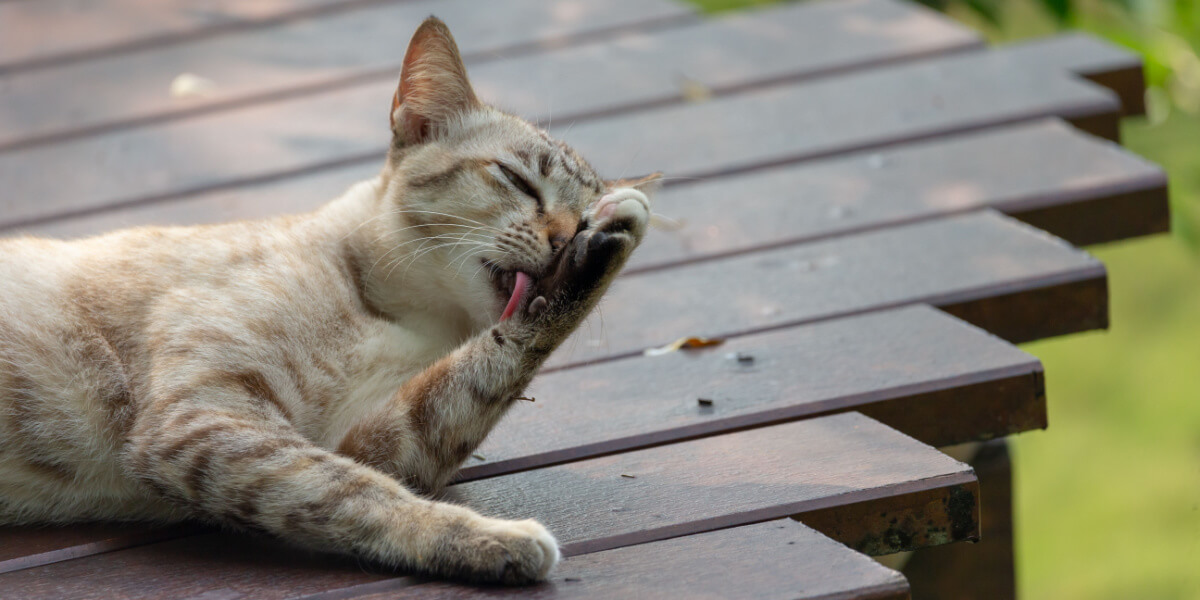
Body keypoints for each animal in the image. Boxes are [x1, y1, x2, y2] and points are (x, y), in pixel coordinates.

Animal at [0, 16, 657, 583]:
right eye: (519, 181)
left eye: (580, 216)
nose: (567, 239)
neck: (402, 319)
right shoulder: (208, 419)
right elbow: (356, 494)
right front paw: (495, 539)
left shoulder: (367, 439)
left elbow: (473, 380)